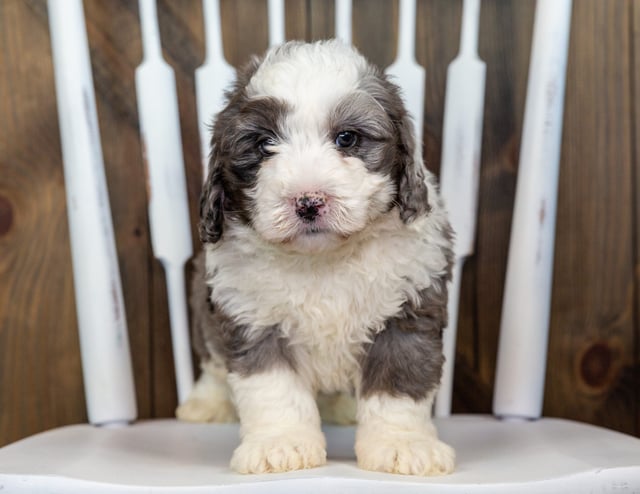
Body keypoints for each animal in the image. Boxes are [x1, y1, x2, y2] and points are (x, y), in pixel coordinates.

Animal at [176, 40, 456, 476]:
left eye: (347, 138)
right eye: (264, 145)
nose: (308, 202)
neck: (322, 259)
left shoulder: (408, 314)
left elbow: (398, 389)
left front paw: (402, 445)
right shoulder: (253, 318)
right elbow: (273, 389)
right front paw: (280, 445)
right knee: (211, 361)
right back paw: (205, 403)